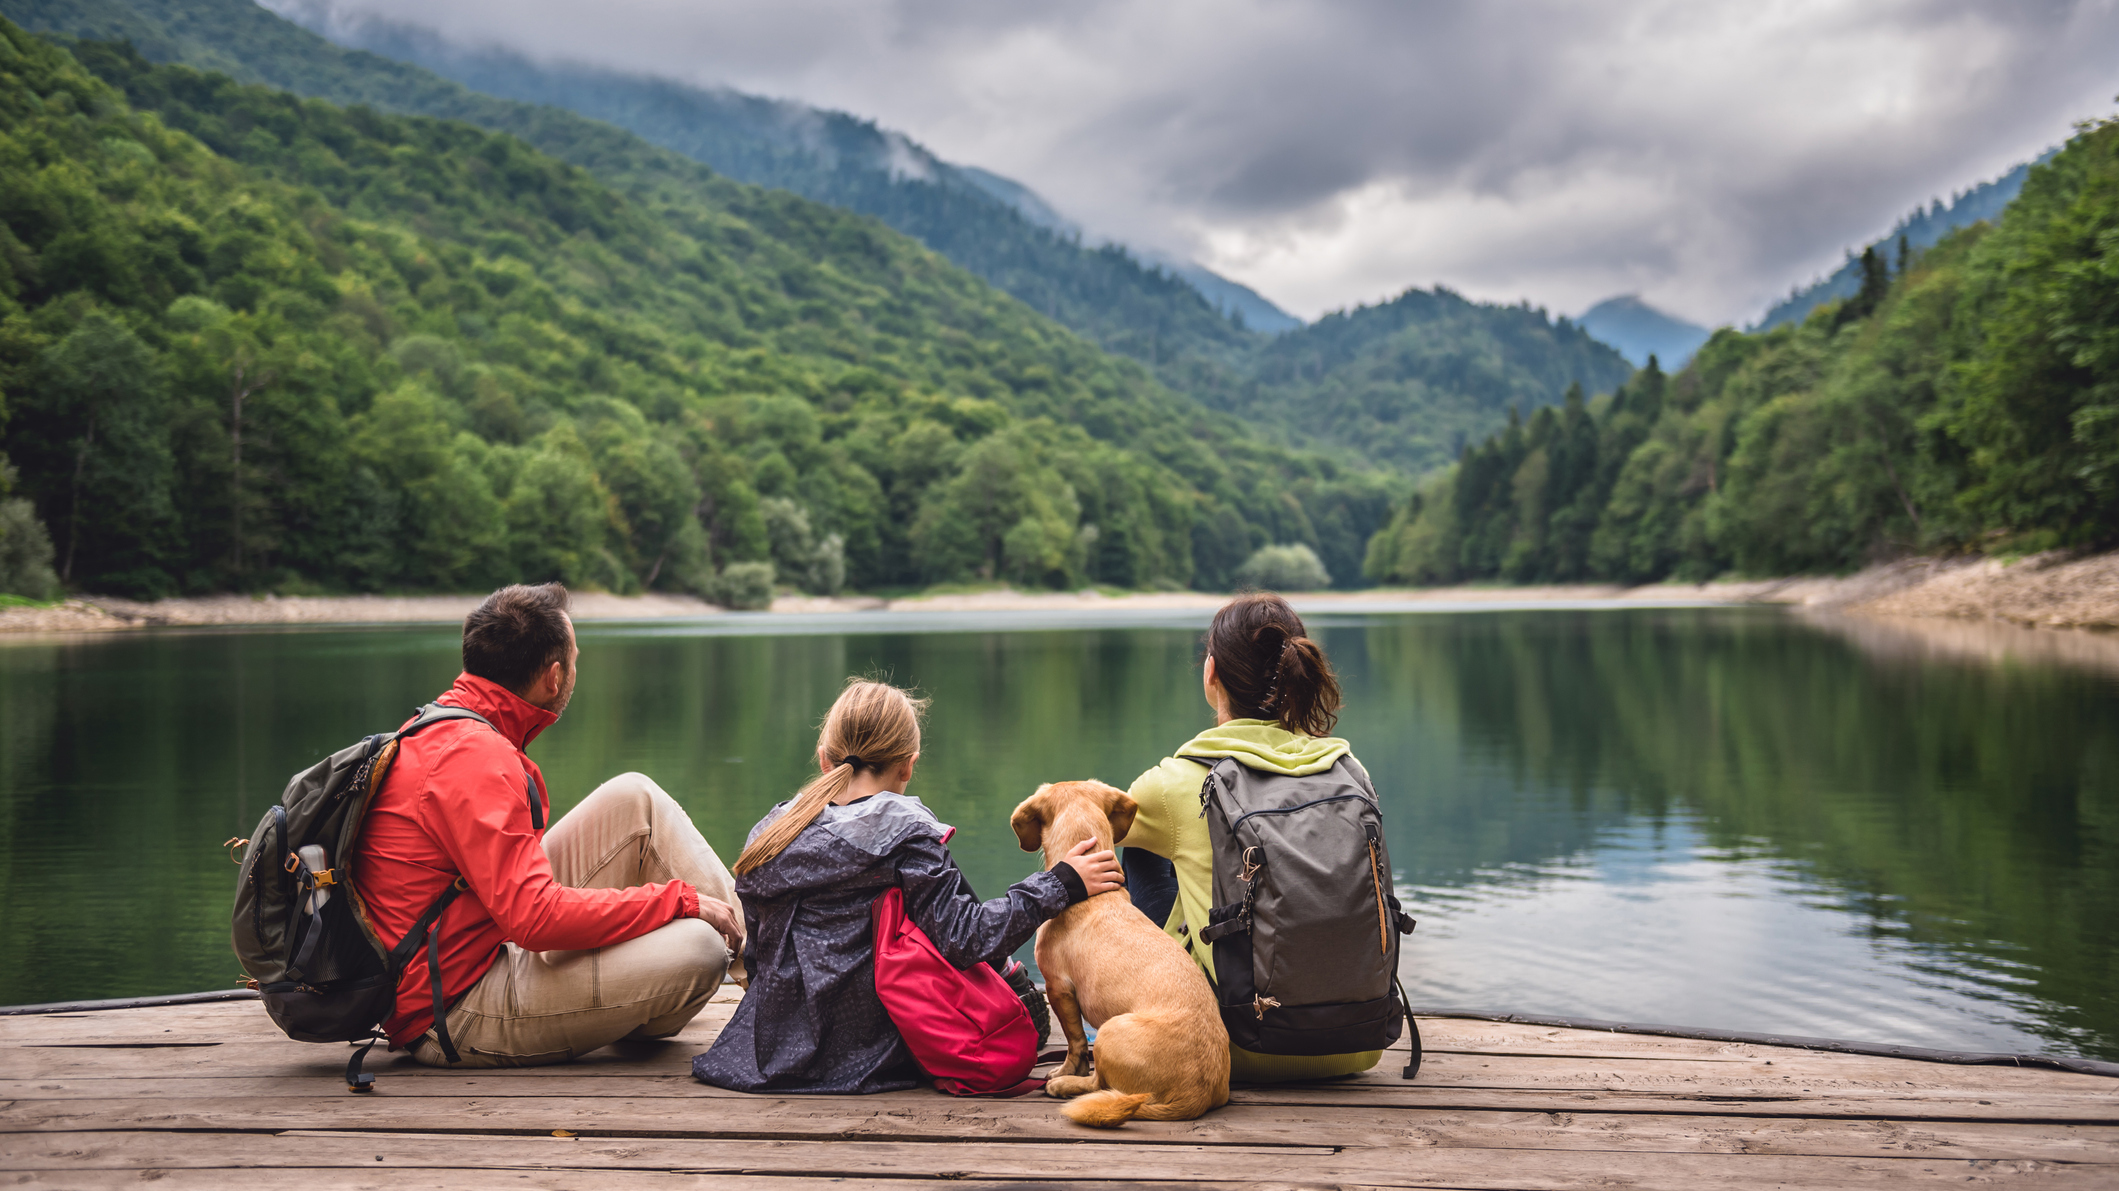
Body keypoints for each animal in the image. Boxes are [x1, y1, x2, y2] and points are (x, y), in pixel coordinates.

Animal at [1008, 779, 1229, 1118]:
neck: (1092, 895)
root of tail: (1196, 1096)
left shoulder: (1058, 987)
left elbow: (1074, 1042)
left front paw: (1065, 1072)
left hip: (1108, 1032)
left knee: (1099, 1084)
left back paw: (1064, 1085)